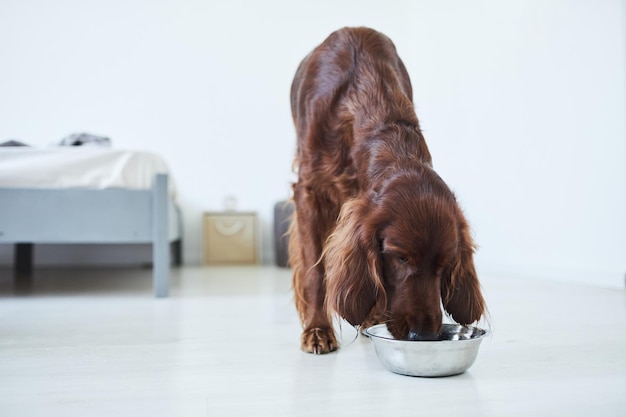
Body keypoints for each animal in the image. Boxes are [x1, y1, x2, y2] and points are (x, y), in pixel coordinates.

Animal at [288, 26, 482, 352]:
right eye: (400, 257)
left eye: (445, 263)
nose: (423, 336)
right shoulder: (310, 192)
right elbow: (315, 271)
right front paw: (317, 329)